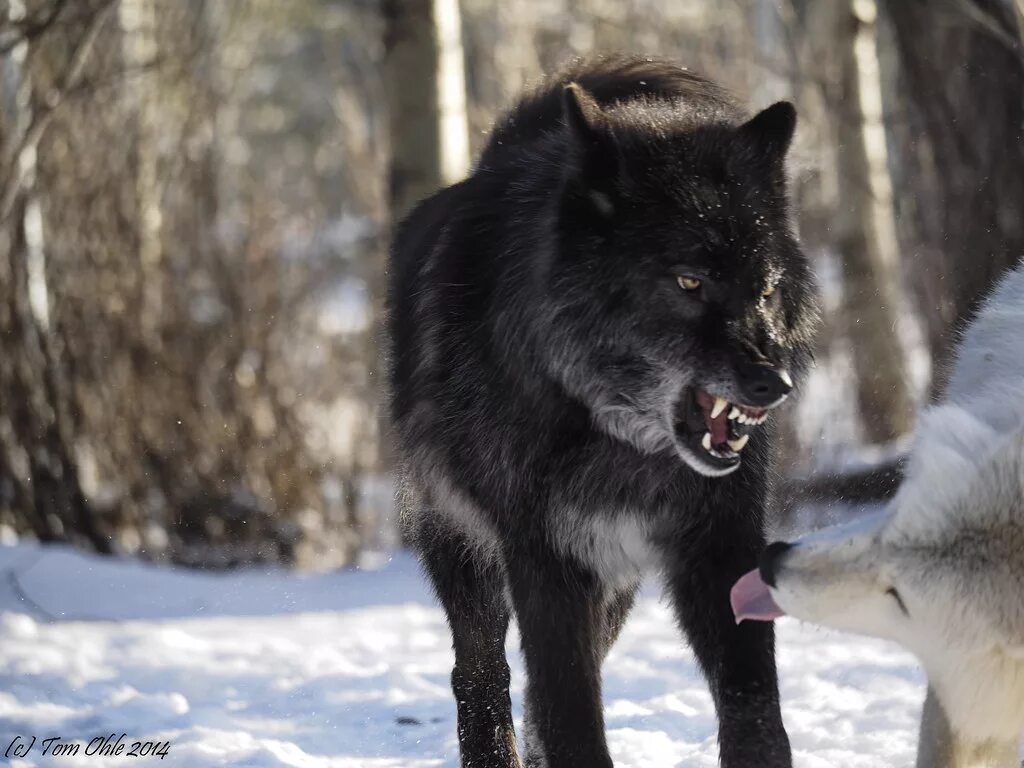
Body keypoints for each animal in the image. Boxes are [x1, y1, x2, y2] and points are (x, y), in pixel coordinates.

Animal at [387, 55, 819, 768]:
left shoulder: (720, 545)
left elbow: (754, 708)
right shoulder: (546, 560)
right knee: (481, 674)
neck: (617, 436)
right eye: (690, 281)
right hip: (468, 556)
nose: (772, 384)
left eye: (765, 289)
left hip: (614, 587)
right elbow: (571, 713)